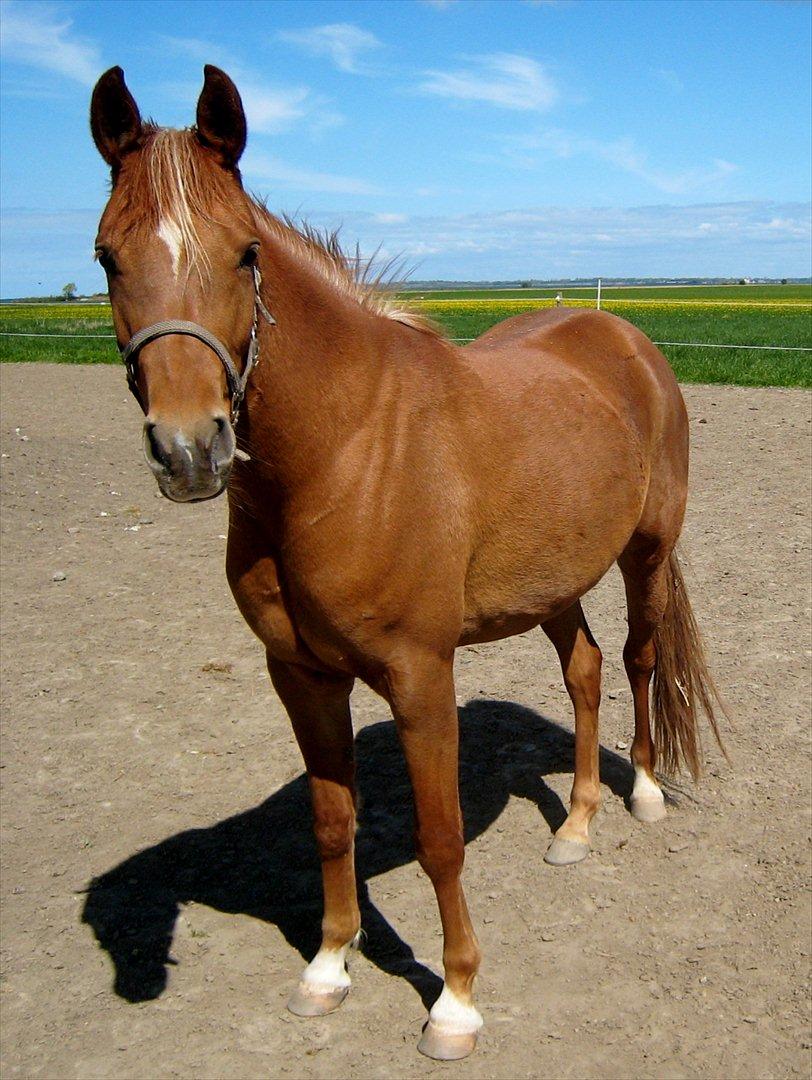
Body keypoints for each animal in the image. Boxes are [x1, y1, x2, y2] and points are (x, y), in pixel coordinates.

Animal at [88, 65, 721, 1054]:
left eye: (243, 254)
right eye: (108, 258)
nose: (190, 449)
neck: (346, 449)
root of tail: (623, 338)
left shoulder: (421, 675)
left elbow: (440, 837)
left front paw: (455, 1002)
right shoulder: (300, 674)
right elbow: (331, 821)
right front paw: (327, 967)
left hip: (647, 555)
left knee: (638, 659)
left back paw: (645, 796)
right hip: (551, 586)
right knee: (584, 670)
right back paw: (575, 827)